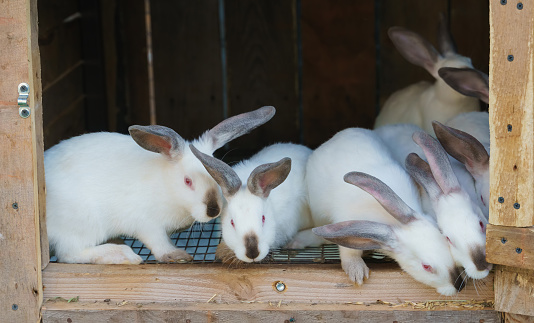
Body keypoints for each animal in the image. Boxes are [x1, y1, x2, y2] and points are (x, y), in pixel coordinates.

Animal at [45, 106, 276, 264]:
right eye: (188, 181)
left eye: (216, 177)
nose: (213, 210)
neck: (168, 189)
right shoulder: (148, 224)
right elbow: (159, 244)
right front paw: (177, 255)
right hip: (84, 224)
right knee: (69, 253)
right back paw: (123, 254)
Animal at [308, 128, 462, 296]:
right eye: (426, 266)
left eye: (447, 241)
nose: (459, 285)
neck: (395, 223)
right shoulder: (346, 222)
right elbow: (349, 252)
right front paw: (357, 273)